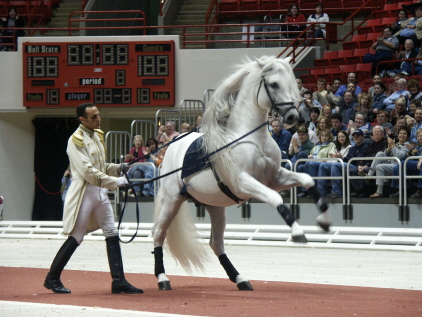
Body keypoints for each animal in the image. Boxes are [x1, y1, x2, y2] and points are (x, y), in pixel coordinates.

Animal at [151, 55, 330, 290]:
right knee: (158, 234)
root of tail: (174, 143)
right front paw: (298, 233)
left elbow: (307, 179)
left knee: (216, 243)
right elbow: (275, 199)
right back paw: (163, 278)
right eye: (274, 84)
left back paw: (240, 279)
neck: (252, 139)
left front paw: (324, 219)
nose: (292, 117)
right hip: (172, 200)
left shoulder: (275, 177)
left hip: (215, 207)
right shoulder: (244, 182)